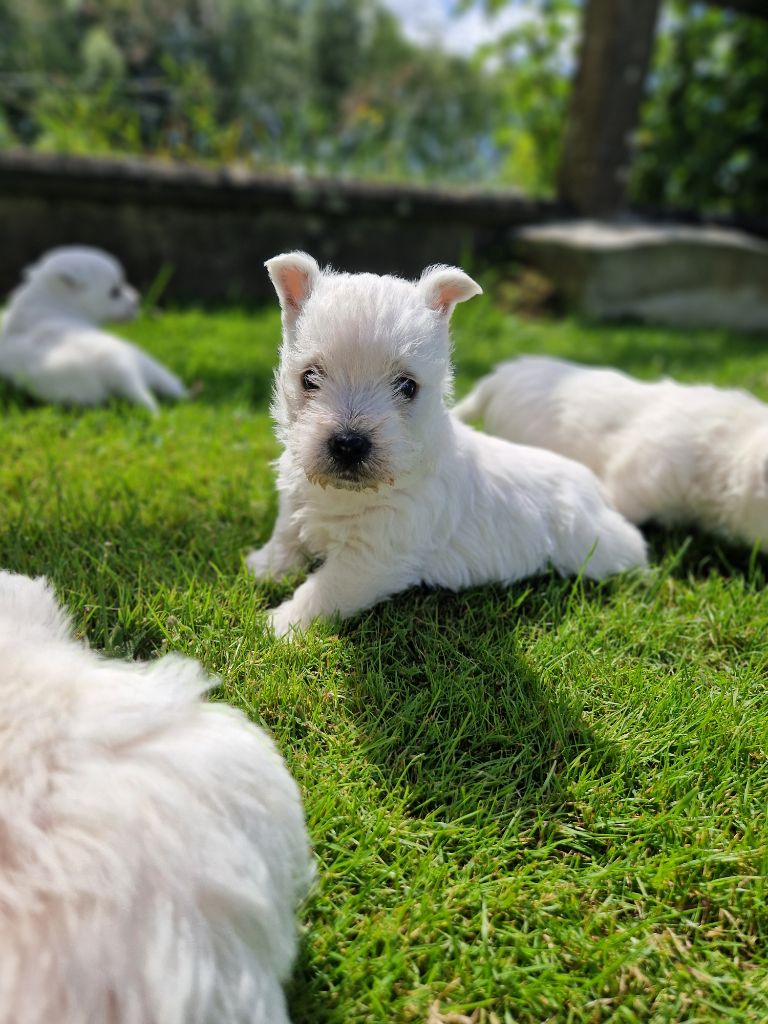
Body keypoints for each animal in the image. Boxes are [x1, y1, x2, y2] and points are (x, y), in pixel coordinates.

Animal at [0, 245, 186, 409]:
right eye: (115, 291)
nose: (137, 299)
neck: (52, 302)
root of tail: (112, 372)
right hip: (131, 356)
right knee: (164, 381)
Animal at [247, 252, 651, 634]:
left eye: (407, 386)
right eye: (309, 378)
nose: (349, 444)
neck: (346, 494)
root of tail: (595, 490)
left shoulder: (372, 557)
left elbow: (321, 591)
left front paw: (278, 626)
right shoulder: (295, 498)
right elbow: (285, 537)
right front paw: (261, 567)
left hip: (596, 545)